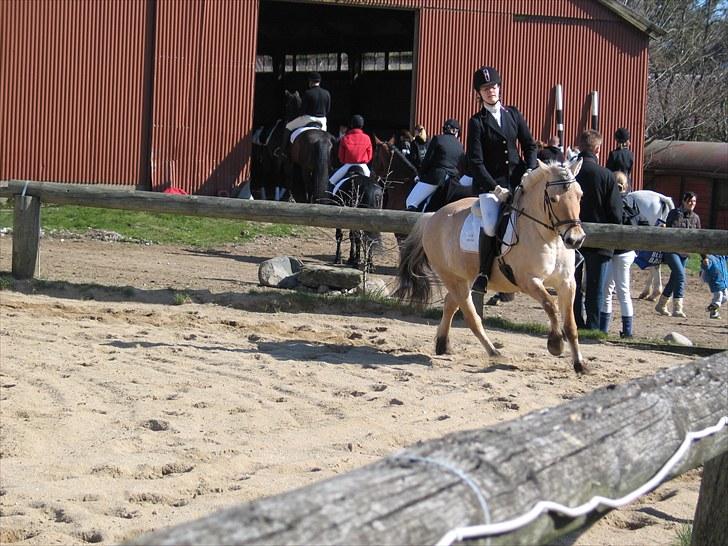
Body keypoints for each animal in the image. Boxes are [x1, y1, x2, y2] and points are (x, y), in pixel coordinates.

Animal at [396, 157, 588, 370]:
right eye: (553, 199)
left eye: (580, 196)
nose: (575, 240)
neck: (548, 237)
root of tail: (432, 216)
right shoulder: (529, 281)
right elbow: (550, 305)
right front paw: (555, 344)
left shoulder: (567, 283)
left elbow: (570, 325)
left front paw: (580, 364)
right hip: (452, 278)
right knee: (471, 317)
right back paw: (494, 352)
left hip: (462, 278)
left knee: (450, 304)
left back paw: (443, 344)